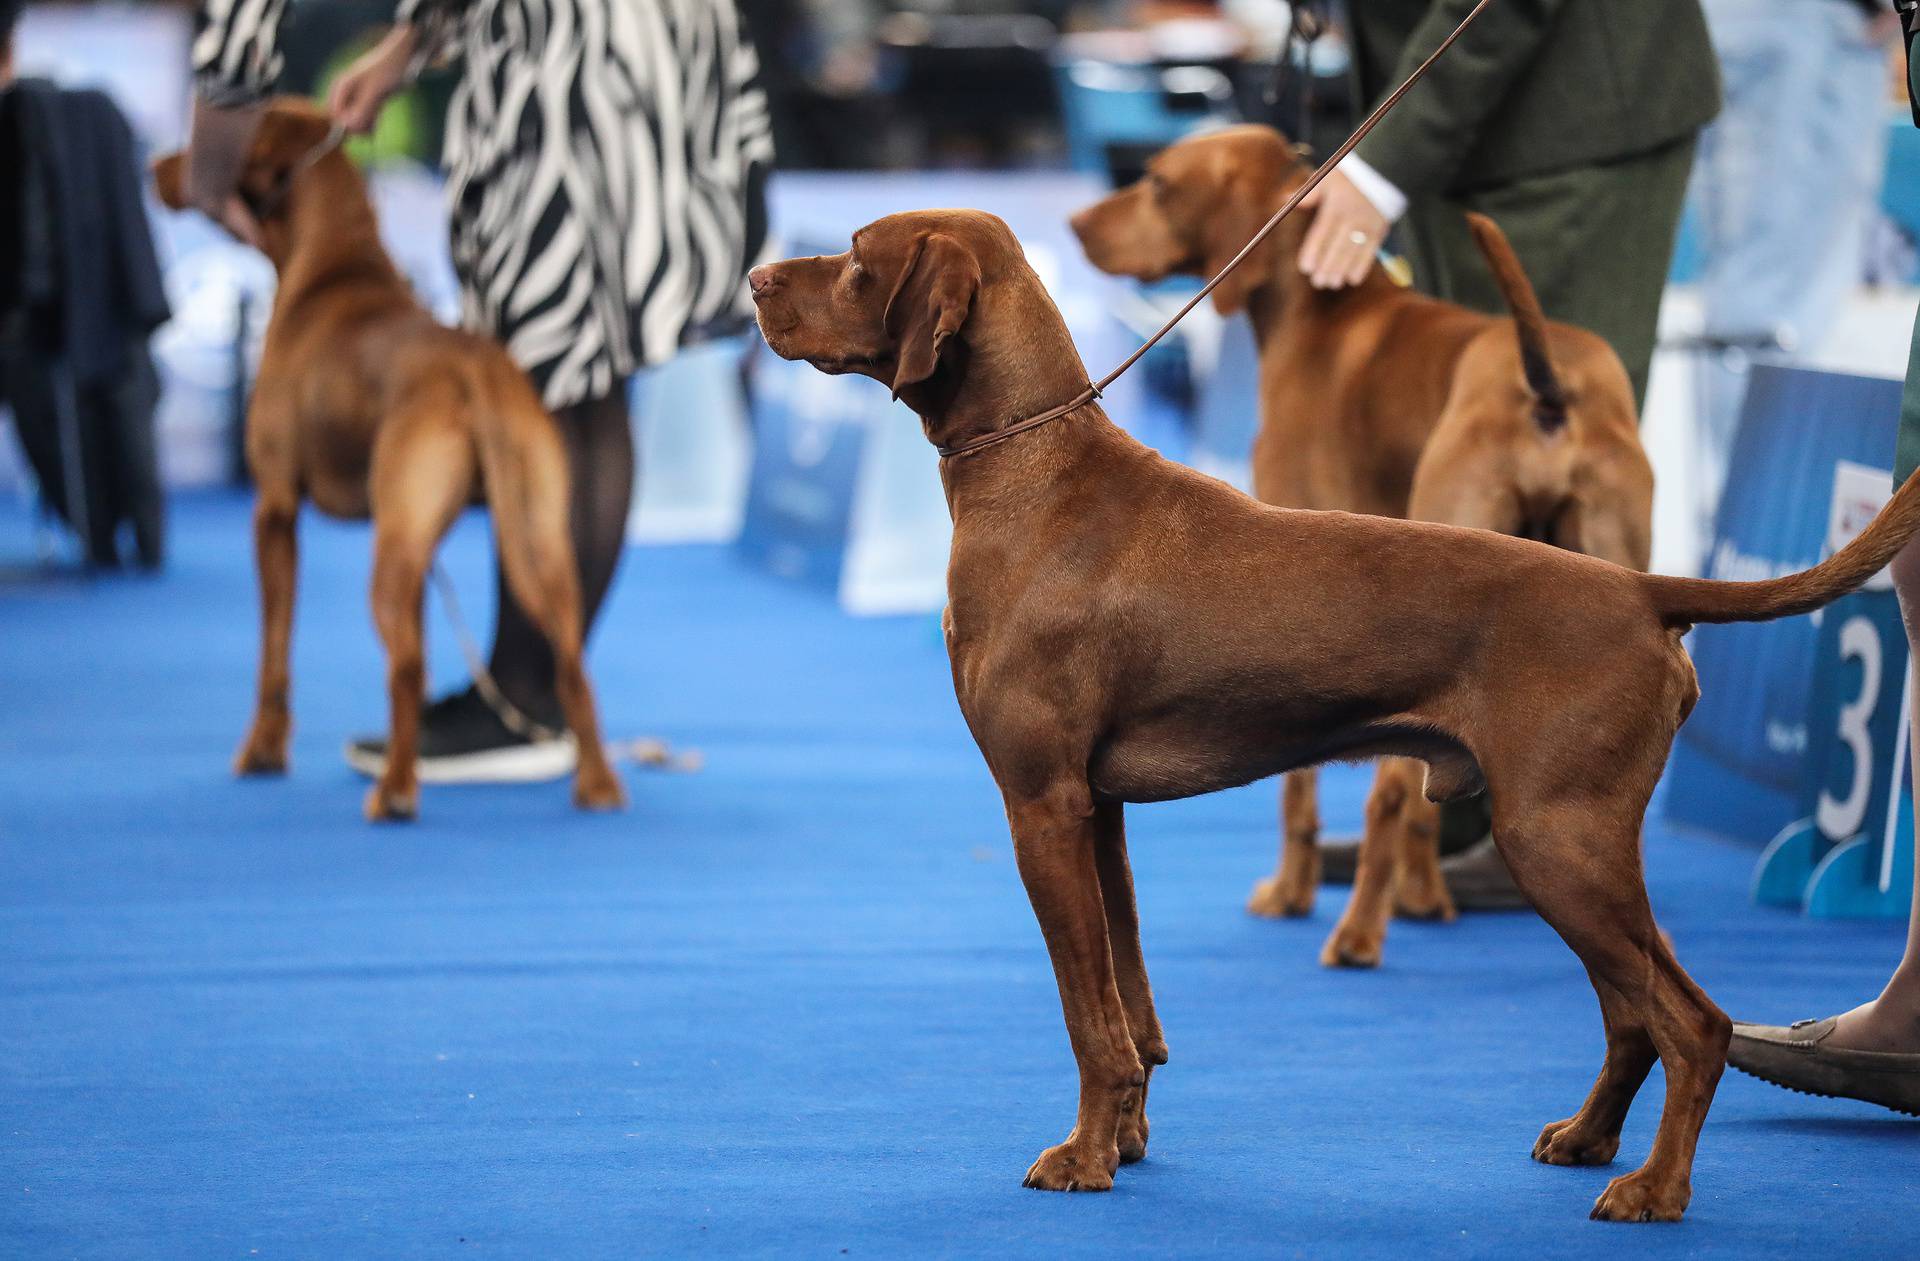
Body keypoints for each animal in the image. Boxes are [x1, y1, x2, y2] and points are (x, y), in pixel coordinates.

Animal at [156, 103, 625, 821]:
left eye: (216, 135)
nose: (155, 166)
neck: (333, 265)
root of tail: (475, 370)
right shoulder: (421, 542)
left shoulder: (274, 511)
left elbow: (274, 652)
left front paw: (263, 751)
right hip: (532, 536)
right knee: (572, 664)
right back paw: (596, 786)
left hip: (394, 551)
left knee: (406, 669)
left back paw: (397, 791)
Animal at [744, 209, 1920, 1220]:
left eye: (854, 259)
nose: (754, 278)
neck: (1035, 471)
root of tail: (1641, 590)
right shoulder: (1098, 810)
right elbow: (1132, 1002)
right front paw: (1125, 1138)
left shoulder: (1039, 804)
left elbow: (1088, 1013)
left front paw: (1082, 1158)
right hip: (1568, 847)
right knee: (1635, 1017)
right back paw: (1590, 1140)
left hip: (1561, 838)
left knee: (1694, 1022)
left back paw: (1655, 1190)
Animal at [1075, 125, 1658, 963]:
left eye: (1155, 180)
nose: (1076, 224)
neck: (1319, 310)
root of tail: (1548, 388)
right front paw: (1421, 898)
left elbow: (1299, 787)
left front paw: (1289, 891)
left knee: (1386, 794)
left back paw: (1355, 932)